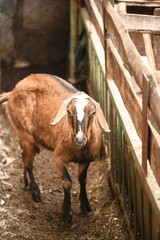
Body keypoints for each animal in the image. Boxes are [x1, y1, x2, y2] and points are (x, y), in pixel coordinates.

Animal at [0, 73, 110, 225]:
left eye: (93, 113)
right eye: (69, 113)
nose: (80, 139)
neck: (78, 149)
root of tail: (12, 92)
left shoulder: (85, 160)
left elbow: (82, 180)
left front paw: (86, 206)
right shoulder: (59, 158)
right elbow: (67, 182)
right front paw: (67, 214)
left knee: (24, 158)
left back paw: (26, 182)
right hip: (24, 133)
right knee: (29, 162)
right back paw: (35, 192)